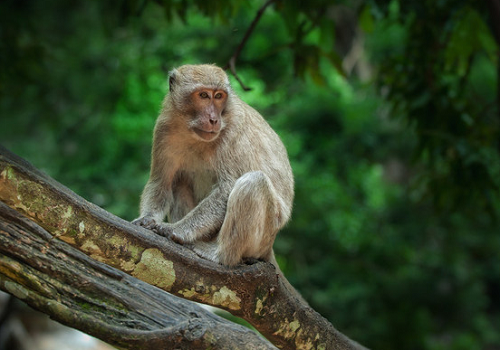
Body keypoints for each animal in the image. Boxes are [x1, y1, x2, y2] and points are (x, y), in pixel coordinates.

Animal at [132, 65, 292, 268]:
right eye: (203, 95)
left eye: (218, 96)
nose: (214, 119)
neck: (191, 131)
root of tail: (269, 248)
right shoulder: (164, 128)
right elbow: (161, 182)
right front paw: (146, 219)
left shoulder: (233, 129)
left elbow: (226, 189)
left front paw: (175, 229)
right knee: (178, 181)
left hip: (266, 233)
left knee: (253, 182)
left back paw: (219, 255)